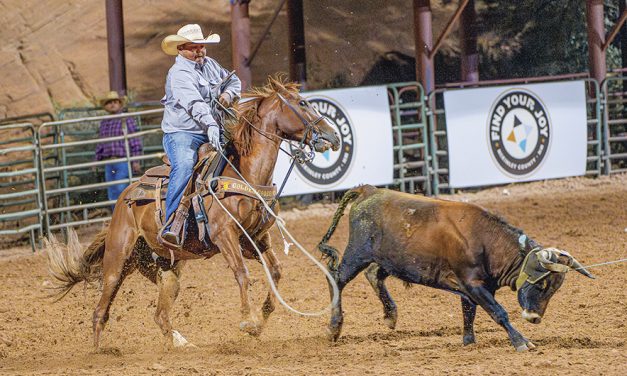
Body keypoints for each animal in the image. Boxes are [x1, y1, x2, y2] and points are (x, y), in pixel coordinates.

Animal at [46, 76, 340, 350]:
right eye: (302, 103)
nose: (333, 137)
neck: (244, 171)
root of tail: (122, 201)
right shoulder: (225, 235)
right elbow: (242, 273)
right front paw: (248, 320)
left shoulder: (254, 239)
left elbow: (276, 271)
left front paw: (261, 320)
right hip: (118, 260)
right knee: (101, 310)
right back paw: (99, 352)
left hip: (167, 268)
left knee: (160, 314)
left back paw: (182, 344)